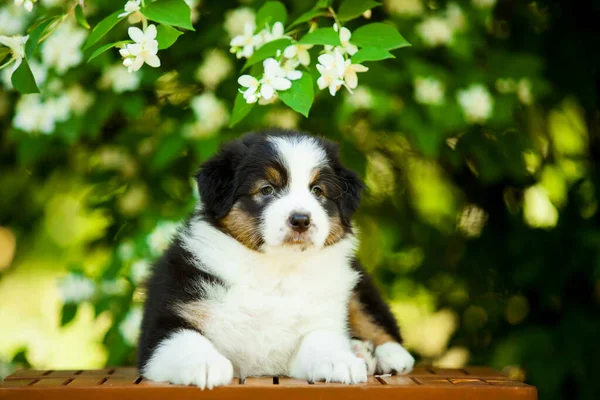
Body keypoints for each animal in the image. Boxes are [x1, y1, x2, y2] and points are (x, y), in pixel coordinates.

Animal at [138, 130, 414, 388]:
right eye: (267, 189)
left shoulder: (320, 322)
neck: (275, 270)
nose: (301, 220)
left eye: (317, 191)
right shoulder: (163, 321)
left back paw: (386, 355)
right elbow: (183, 339)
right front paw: (204, 364)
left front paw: (340, 360)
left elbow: (321, 338)